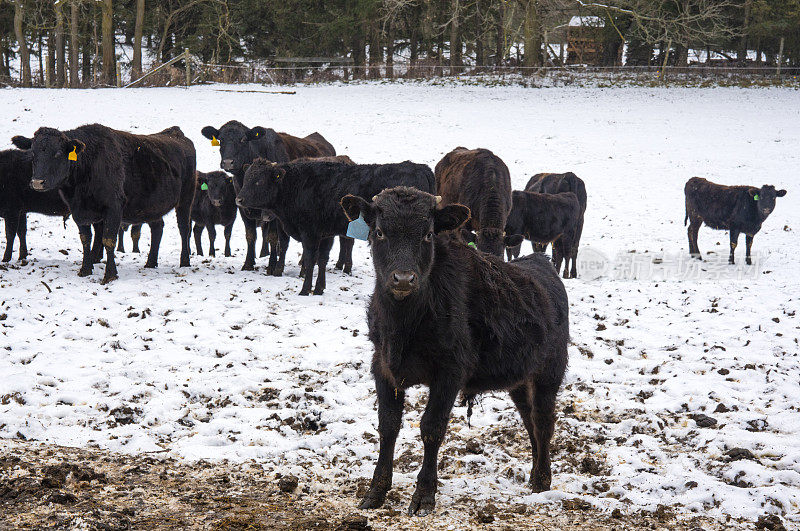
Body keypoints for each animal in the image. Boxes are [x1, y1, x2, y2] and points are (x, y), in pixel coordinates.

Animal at [12, 124, 195, 284]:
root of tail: (175, 132)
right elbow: (85, 239)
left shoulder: (113, 208)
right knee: (157, 228)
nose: (37, 182)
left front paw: (110, 275)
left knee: (184, 228)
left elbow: (108, 240)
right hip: (152, 206)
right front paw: (85, 270)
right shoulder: (78, 211)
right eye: (33, 153)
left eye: (57, 153)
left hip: (186, 199)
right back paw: (151, 262)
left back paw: (184, 261)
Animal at [203, 121, 338, 276]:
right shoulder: (243, 209)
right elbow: (250, 236)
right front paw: (248, 263)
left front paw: (272, 266)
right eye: (221, 139)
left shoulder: (275, 213)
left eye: (243, 139)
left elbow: (273, 237)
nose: (227, 162)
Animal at [238, 160, 434, 298]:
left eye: (259, 181)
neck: (297, 186)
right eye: (246, 178)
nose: (238, 199)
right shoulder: (326, 234)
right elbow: (322, 260)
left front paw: (304, 290)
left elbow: (310, 259)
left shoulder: (310, 233)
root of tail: (420, 167)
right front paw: (319, 289)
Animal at [340, 187, 572, 516]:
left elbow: (431, 427)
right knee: (528, 418)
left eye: (427, 234)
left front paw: (424, 495)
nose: (403, 279)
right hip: (519, 378)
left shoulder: (450, 372)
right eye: (380, 232)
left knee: (543, 421)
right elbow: (388, 426)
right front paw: (376, 491)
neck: (405, 324)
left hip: (549, 372)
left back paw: (542, 479)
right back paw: (533, 474)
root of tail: (541, 262)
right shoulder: (383, 367)